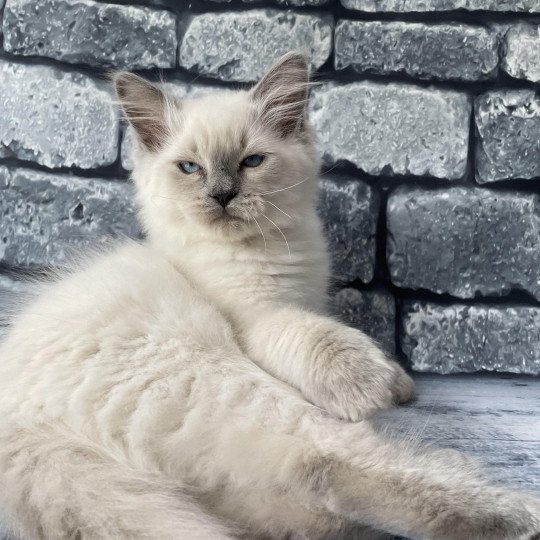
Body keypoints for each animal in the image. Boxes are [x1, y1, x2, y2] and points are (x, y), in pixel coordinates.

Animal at [0, 51, 536, 540]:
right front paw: (373, 386)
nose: (221, 196)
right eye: (190, 168)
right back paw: (512, 514)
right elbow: (320, 340)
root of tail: (21, 429)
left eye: (251, 161)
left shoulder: (308, 297)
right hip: (222, 380)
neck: (264, 250)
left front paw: (399, 383)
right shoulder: (258, 318)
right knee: (327, 461)